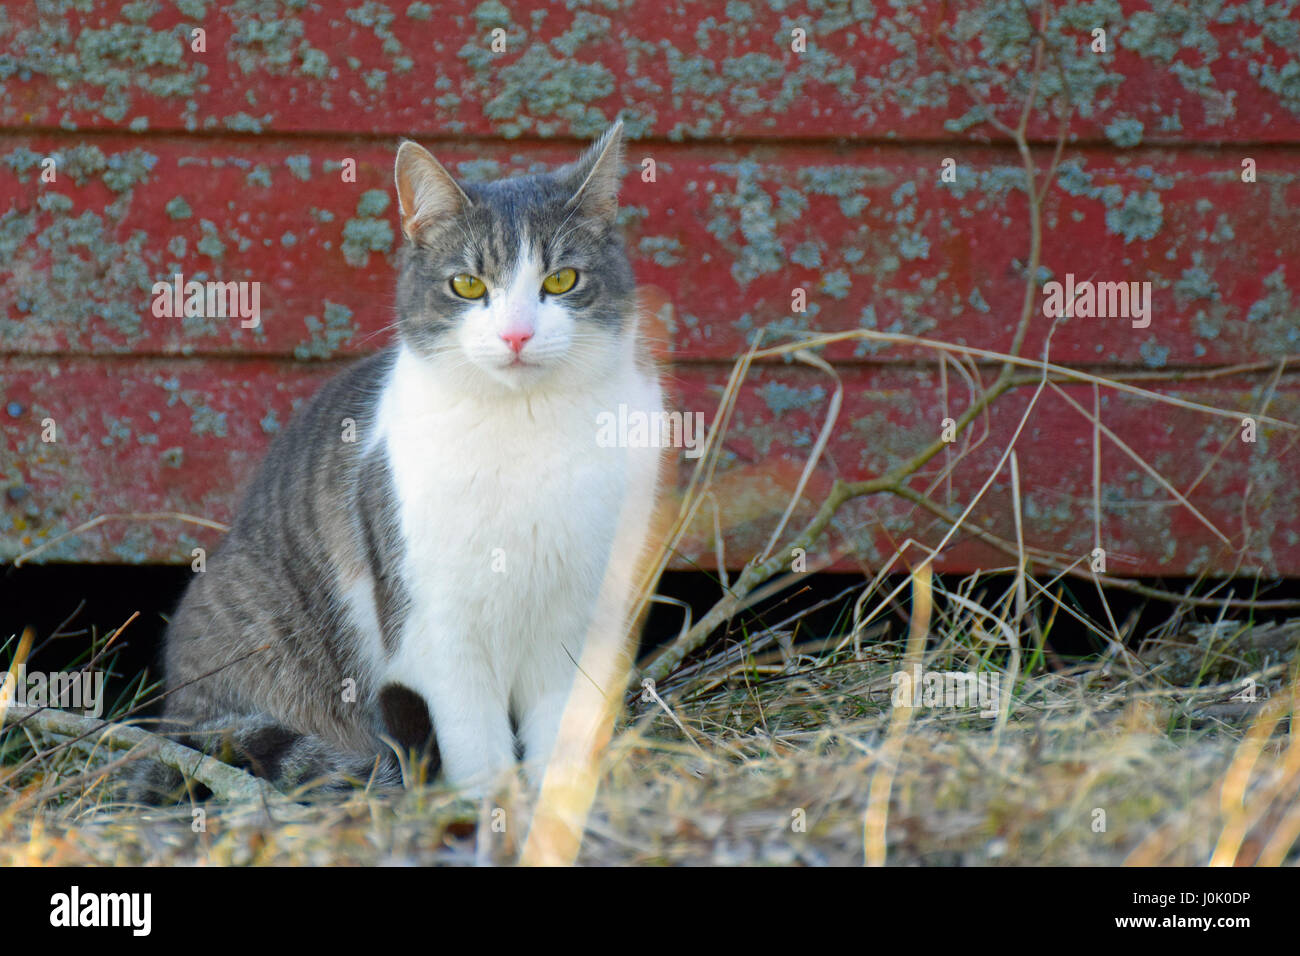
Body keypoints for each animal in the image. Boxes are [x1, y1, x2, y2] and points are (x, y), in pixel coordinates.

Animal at [133, 121, 665, 801]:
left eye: (561, 281)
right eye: (468, 285)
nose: (517, 334)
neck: (524, 425)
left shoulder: (579, 622)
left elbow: (557, 742)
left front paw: (556, 808)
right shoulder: (435, 631)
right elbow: (475, 747)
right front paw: (485, 811)